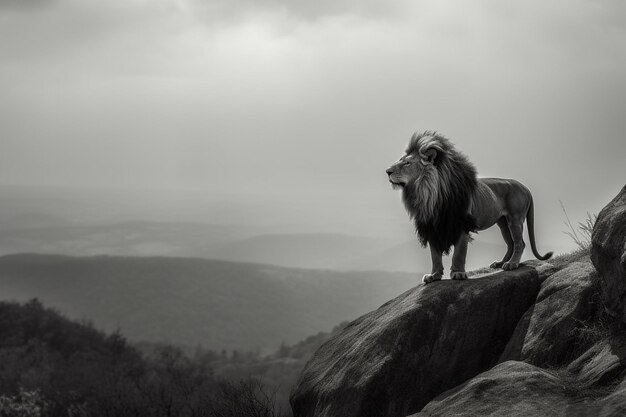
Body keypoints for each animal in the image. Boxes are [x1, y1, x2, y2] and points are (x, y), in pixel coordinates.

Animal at [386, 132, 552, 282]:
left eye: (407, 163)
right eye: (400, 161)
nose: (387, 171)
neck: (427, 194)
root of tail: (525, 187)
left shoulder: (462, 223)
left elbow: (459, 253)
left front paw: (458, 273)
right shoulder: (432, 226)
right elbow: (435, 255)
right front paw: (434, 276)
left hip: (515, 219)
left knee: (519, 243)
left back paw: (512, 264)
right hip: (503, 223)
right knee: (510, 243)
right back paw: (500, 263)